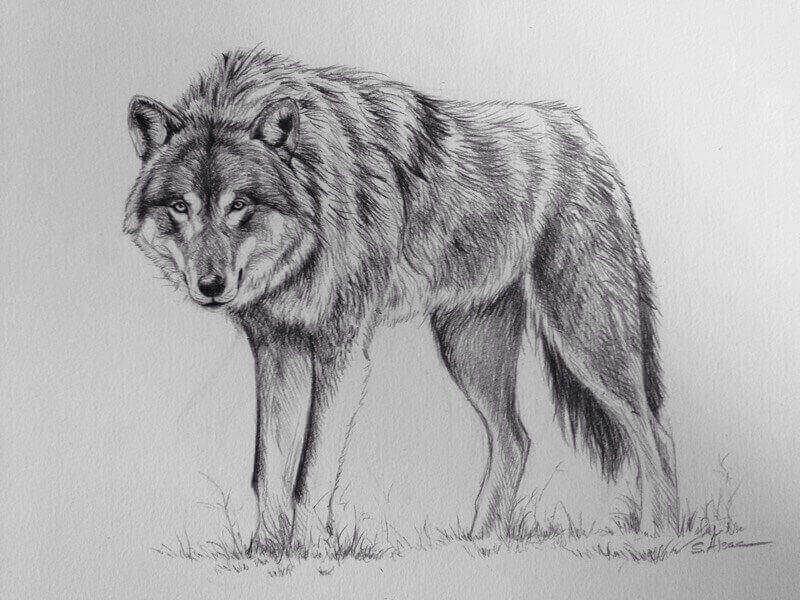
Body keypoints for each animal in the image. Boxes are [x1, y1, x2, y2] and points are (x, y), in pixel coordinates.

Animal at [125, 48, 678, 550]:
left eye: (238, 204)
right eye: (180, 207)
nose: (210, 285)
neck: (316, 190)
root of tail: (583, 133)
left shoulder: (341, 353)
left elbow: (309, 471)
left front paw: (311, 551)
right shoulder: (277, 350)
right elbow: (269, 469)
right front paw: (266, 552)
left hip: (586, 340)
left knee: (655, 432)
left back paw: (656, 535)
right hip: (469, 352)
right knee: (516, 440)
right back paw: (482, 543)